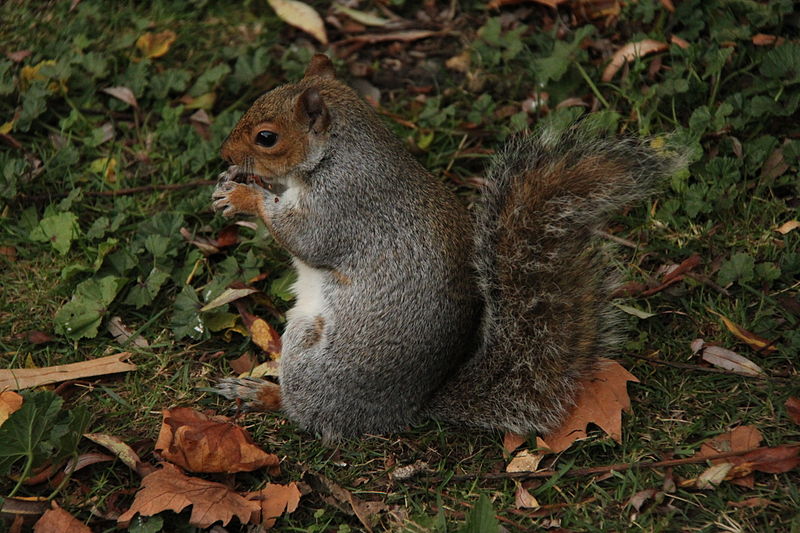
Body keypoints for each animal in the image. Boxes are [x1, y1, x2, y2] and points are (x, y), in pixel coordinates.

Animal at [212, 54, 680, 442]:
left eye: (267, 137)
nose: (224, 153)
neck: (337, 154)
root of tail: (407, 410)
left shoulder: (343, 204)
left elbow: (304, 238)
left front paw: (244, 196)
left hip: (310, 354)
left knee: (303, 414)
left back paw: (263, 394)